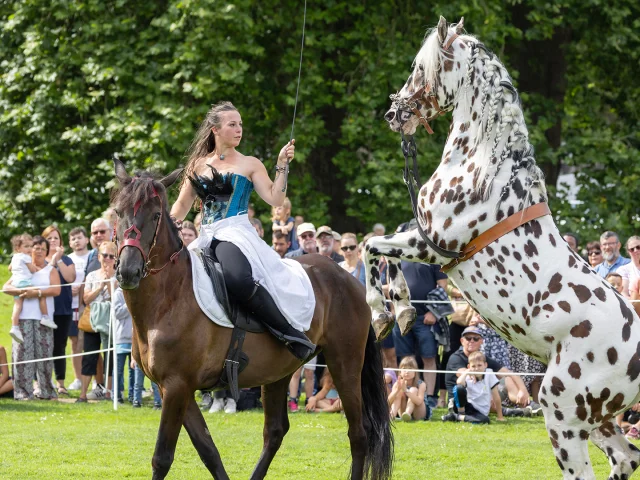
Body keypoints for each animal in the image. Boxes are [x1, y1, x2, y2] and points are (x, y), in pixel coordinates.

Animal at [110, 161, 392, 480]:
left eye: (156, 215)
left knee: (358, 433)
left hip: (344, 363)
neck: (168, 299)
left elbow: (162, 457)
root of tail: (348, 279)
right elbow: (208, 450)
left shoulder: (176, 386)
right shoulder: (173, 388)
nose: (128, 271)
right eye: (118, 212)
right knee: (275, 432)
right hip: (279, 372)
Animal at [368, 15, 640, 480]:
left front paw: (386, 312)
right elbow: (381, 254)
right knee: (627, 458)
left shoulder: (433, 246)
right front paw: (401, 309)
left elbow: (371, 247)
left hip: (562, 412)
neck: (484, 166)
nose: (393, 113)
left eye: (419, 68)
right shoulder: (423, 241)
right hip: (599, 420)